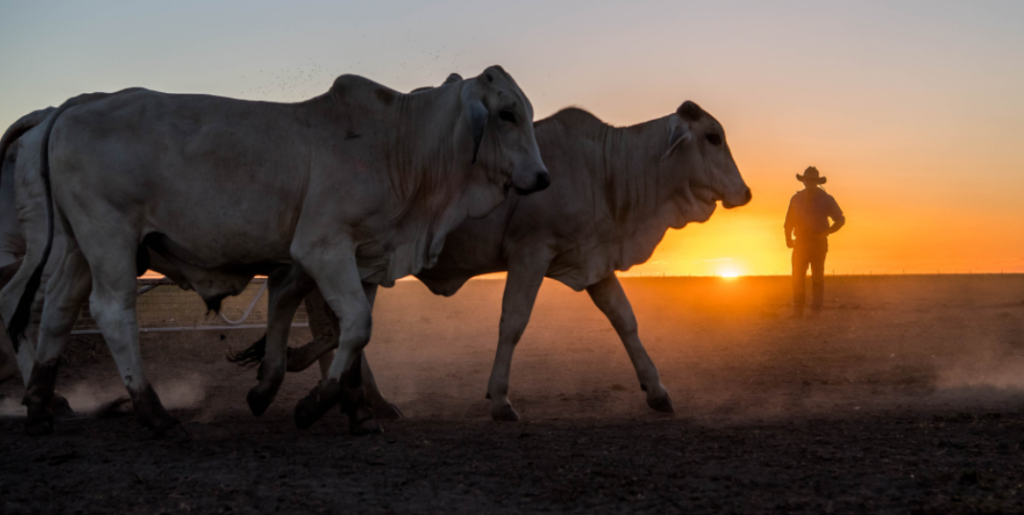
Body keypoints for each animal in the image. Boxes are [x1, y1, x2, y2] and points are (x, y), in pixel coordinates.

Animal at [12, 66, 548, 438]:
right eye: (506, 113)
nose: (543, 178)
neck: (399, 146)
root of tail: (72, 107)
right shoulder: (323, 249)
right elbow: (354, 325)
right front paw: (313, 404)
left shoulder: (367, 259)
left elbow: (349, 332)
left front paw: (355, 411)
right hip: (110, 238)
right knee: (112, 312)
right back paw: (155, 415)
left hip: (78, 248)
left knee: (57, 311)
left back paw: (39, 408)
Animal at [237, 97, 753, 423]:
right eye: (712, 137)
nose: (746, 193)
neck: (607, 169)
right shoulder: (531, 253)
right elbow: (513, 322)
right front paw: (500, 399)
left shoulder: (593, 261)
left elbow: (625, 320)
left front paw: (658, 392)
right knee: (299, 300)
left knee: (330, 318)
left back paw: (354, 399)